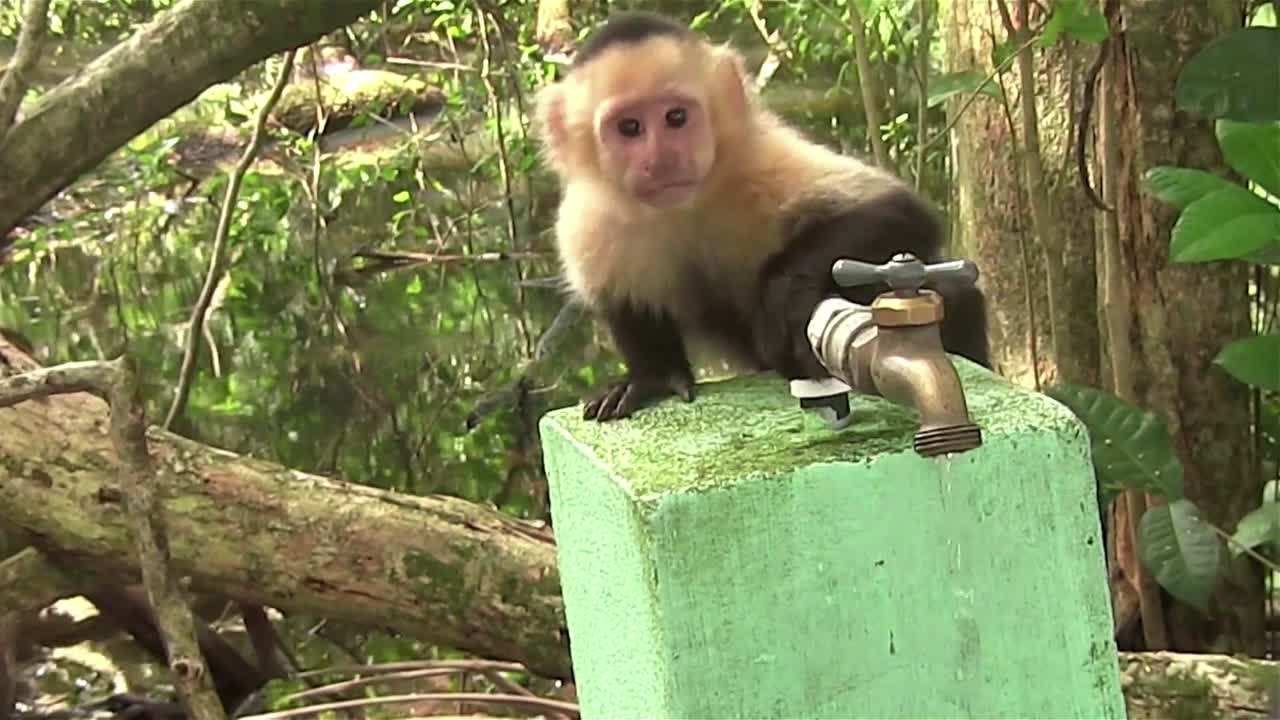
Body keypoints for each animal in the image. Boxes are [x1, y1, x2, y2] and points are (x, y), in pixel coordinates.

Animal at [532, 11, 990, 422]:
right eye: (629, 127)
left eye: (676, 117)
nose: (661, 159)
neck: (684, 208)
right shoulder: (588, 220)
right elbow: (621, 297)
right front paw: (652, 377)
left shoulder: (758, 159)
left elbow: (901, 211)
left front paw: (784, 294)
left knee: (948, 292)